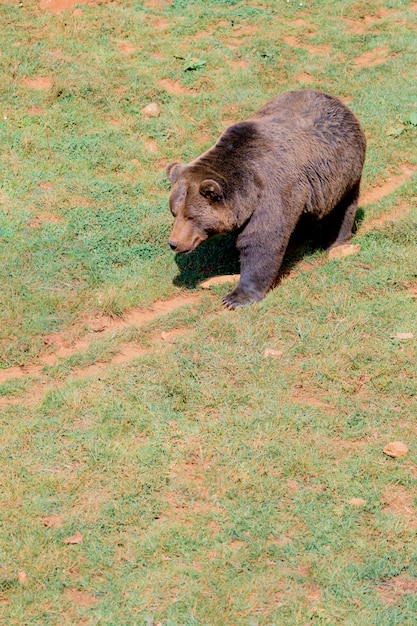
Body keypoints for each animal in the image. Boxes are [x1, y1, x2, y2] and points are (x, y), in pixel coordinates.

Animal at [166, 89, 364, 308]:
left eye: (191, 216)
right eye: (174, 212)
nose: (174, 243)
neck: (248, 189)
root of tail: (336, 100)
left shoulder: (273, 190)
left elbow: (261, 239)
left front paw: (235, 298)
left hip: (343, 173)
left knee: (342, 208)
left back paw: (335, 242)